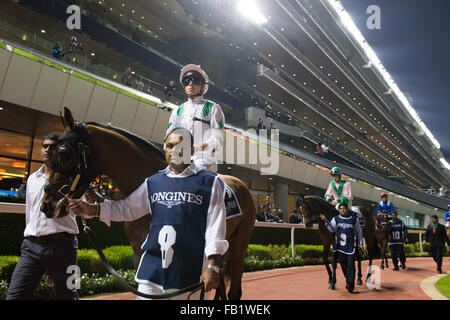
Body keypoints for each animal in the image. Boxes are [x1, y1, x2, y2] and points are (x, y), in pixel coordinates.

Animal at [40, 107, 255, 300]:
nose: (46, 205)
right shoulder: (139, 254)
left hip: (239, 246)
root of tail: (242, 185)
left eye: (64, 154)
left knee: (233, 291)